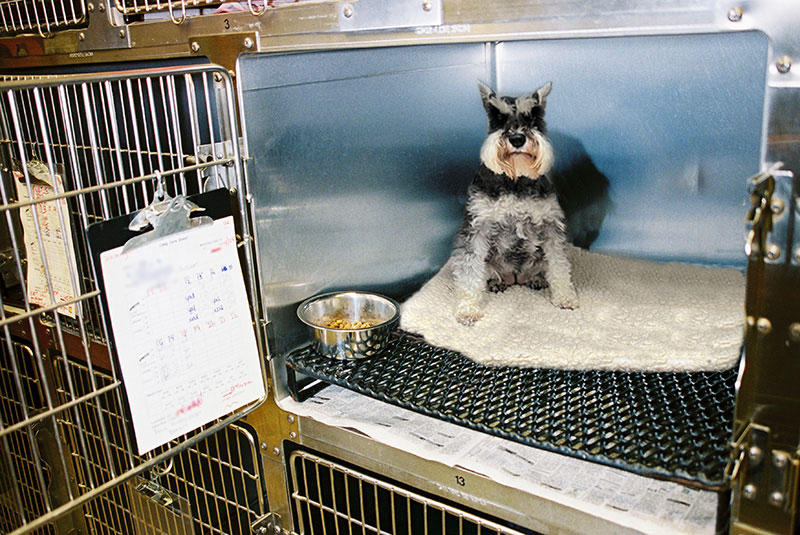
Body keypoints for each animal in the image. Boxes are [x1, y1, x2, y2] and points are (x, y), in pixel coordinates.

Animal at [450, 82, 576, 326]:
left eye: (533, 117)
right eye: (498, 117)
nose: (517, 139)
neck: (515, 179)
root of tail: (516, 278)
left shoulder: (550, 225)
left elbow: (559, 264)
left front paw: (565, 297)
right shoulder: (477, 226)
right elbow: (469, 270)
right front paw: (467, 310)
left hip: (537, 261)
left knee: (543, 268)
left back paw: (537, 280)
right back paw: (496, 282)